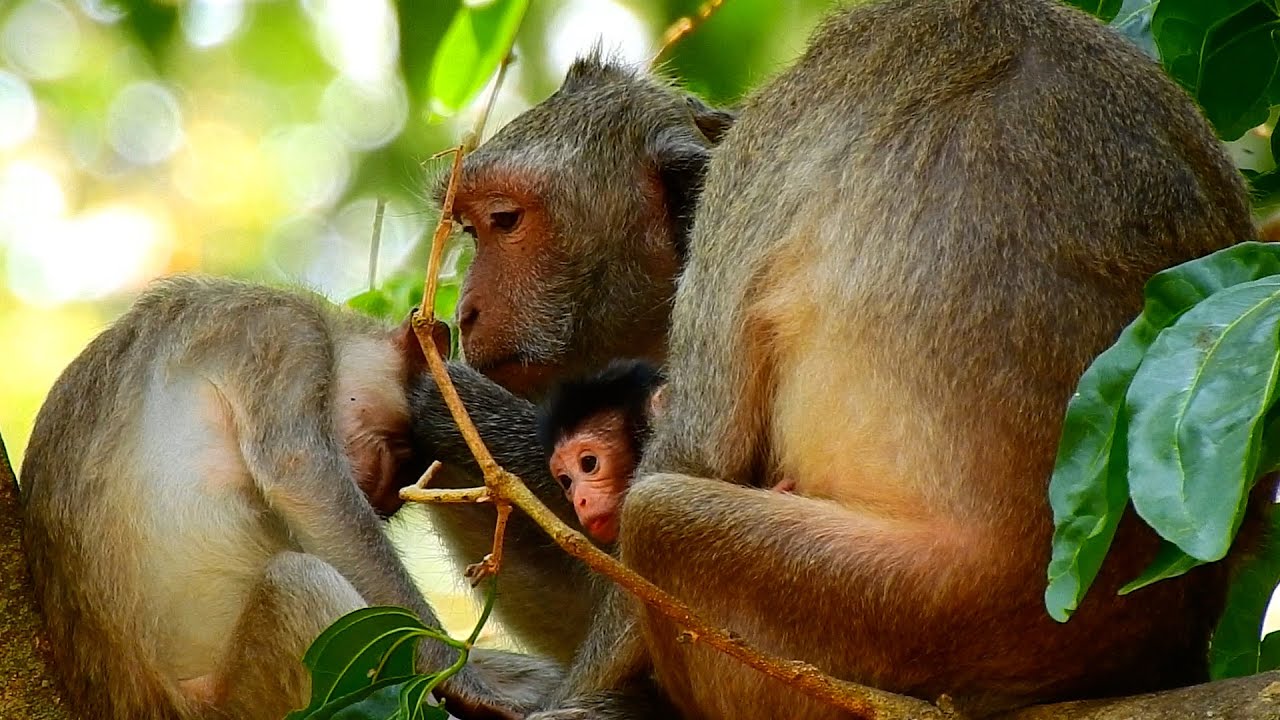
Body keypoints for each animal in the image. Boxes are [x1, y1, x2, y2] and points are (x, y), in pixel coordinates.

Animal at [19, 276, 559, 720]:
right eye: (404, 449)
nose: (385, 498)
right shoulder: (283, 333)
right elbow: (302, 475)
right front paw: (465, 676)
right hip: (250, 700)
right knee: (299, 580)